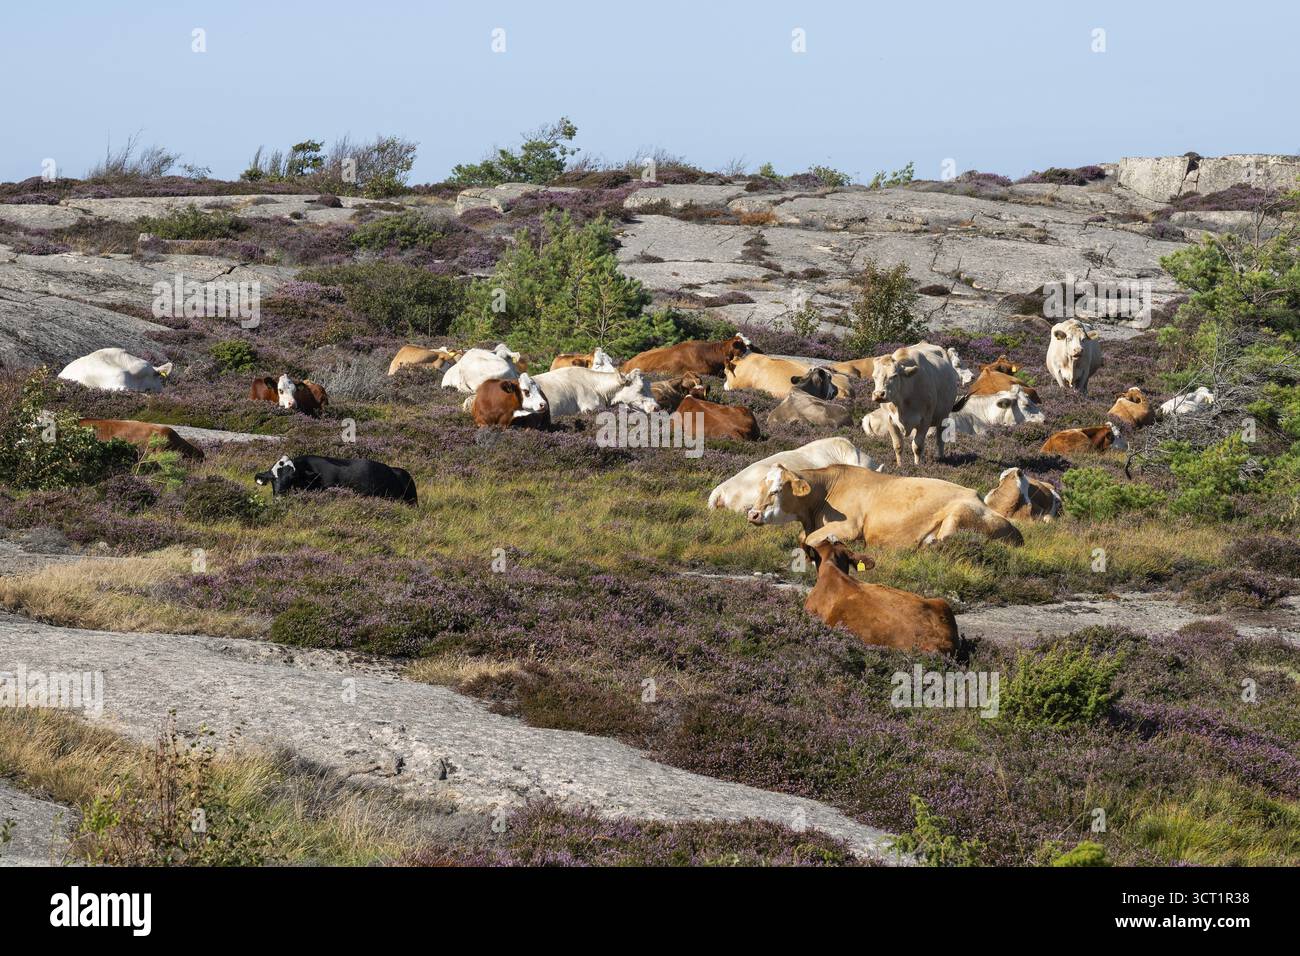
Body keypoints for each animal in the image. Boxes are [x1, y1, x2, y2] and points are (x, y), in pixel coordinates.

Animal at [747, 463, 1023, 548]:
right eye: (759, 489)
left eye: (776, 490)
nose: (753, 514)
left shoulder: (849, 526)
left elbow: (810, 540)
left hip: (959, 514)